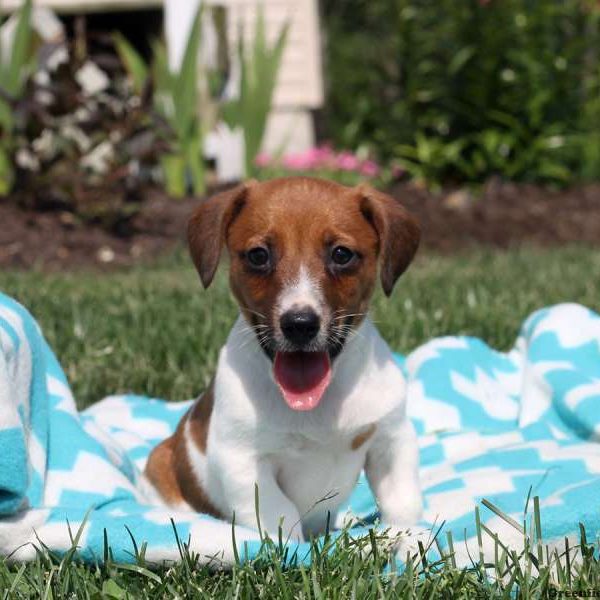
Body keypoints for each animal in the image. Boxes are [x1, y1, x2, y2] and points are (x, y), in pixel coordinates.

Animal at [145, 176, 422, 540]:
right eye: (258, 255)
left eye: (342, 254)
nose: (300, 324)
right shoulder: (243, 461)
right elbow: (281, 515)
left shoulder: (392, 440)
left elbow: (403, 504)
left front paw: (409, 541)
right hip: (159, 464)